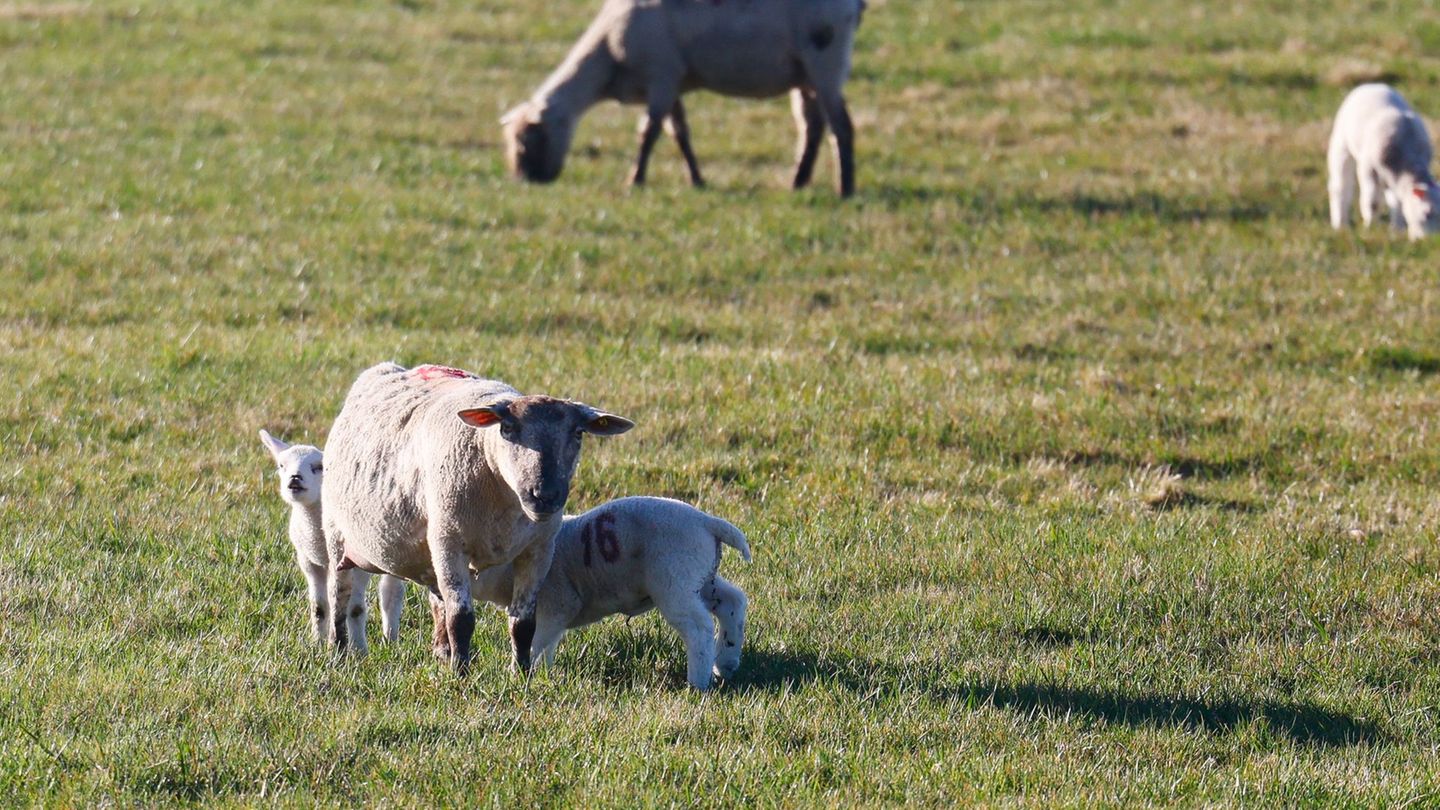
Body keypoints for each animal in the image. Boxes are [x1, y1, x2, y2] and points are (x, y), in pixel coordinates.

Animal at [257, 430, 406, 646]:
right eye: (281, 466)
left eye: (319, 467)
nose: (295, 478)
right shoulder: (310, 561)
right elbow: (319, 607)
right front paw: (317, 643)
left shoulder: (358, 564)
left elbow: (355, 609)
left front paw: (359, 648)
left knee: (391, 593)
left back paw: (390, 640)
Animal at [321, 362, 634, 674]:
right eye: (507, 428)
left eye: (579, 433)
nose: (545, 495)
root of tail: (388, 368)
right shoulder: (449, 543)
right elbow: (461, 619)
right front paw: (461, 673)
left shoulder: (539, 550)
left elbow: (523, 623)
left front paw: (521, 673)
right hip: (337, 531)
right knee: (339, 596)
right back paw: (338, 652)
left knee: (438, 601)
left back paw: (442, 652)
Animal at [470, 496, 750, 690]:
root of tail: (707, 522)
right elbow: (544, 644)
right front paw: (542, 674)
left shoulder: (558, 603)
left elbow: (538, 642)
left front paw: (526, 673)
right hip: (701, 578)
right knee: (732, 602)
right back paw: (726, 662)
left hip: (675, 581)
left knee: (699, 628)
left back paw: (698, 682)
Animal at [501, 0, 865, 196]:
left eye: (524, 142)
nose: (525, 181)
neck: (608, 56)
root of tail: (854, 6)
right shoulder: (672, 83)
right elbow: (679, 134)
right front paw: (697, 180)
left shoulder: (661, 74)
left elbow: (648, 133)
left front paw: (635, 179)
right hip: (804, 74)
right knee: (812, 126)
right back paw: (798, 182)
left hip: (826, 60)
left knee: (841, 126)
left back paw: (845, 188)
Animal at [1328, 83, 1440, 240]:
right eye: (1427, 213)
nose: (1432, 240)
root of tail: (1372, 85)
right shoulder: (1368, 168)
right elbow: (1372, 202)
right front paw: (1369, 227)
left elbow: (1397, 203)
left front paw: (1397, 228)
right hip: (1341, 142)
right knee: (1340, 187)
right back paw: (1340, 224)